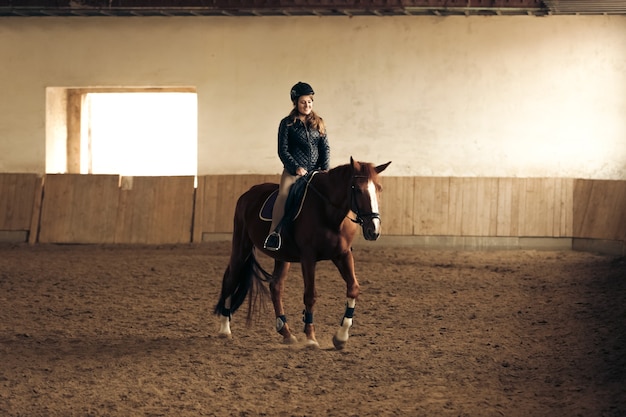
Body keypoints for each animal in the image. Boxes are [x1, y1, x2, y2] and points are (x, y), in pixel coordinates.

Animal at [214, 156, 390, 348]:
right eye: (357, 189)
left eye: (379, 188)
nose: (373, 230)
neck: (328, 213)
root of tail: (249, 193)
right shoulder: (308, 257)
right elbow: (310, 295)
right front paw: (311, 338)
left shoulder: (343, 254)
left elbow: (353, 288)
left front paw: (341, 337)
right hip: (242, 245)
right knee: (232, 278)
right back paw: (224, 329)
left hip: (282, 256)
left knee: (276, 287)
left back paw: (286, 333)